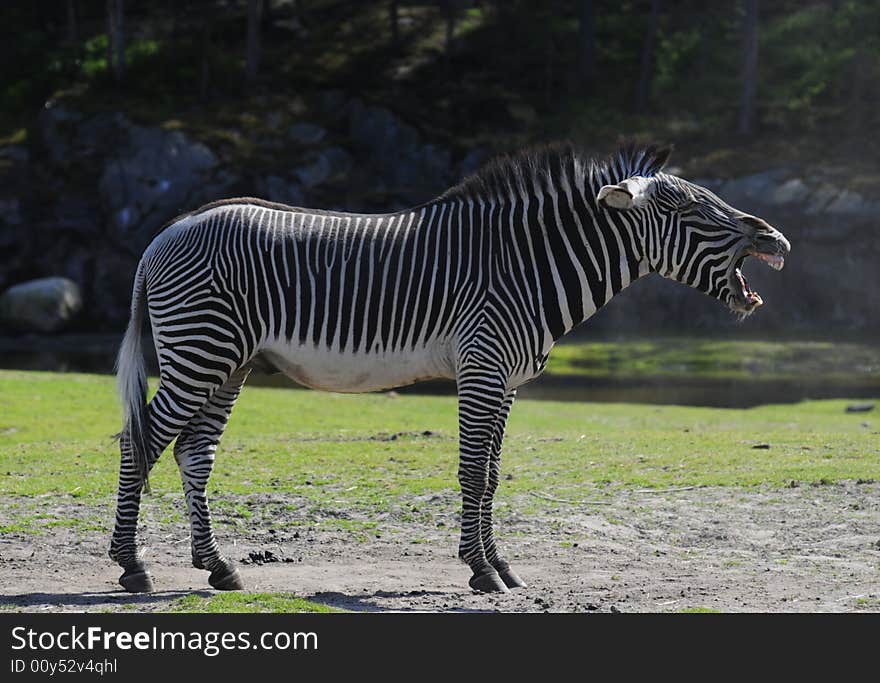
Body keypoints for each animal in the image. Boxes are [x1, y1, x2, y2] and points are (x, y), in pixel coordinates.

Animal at [110, 143, 792, 592]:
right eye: (693, 212)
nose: (778, 240)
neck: (530, 264)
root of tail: (165, 233)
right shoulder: (482, 367)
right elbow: (470, 471)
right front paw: (480, 570)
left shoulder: (507, 380)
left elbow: (490, 474)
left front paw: (502, 565)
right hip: (201, 350)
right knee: (139, 442)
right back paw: (132, 566)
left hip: (231, 362)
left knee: (192, 452)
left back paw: (218, 567)